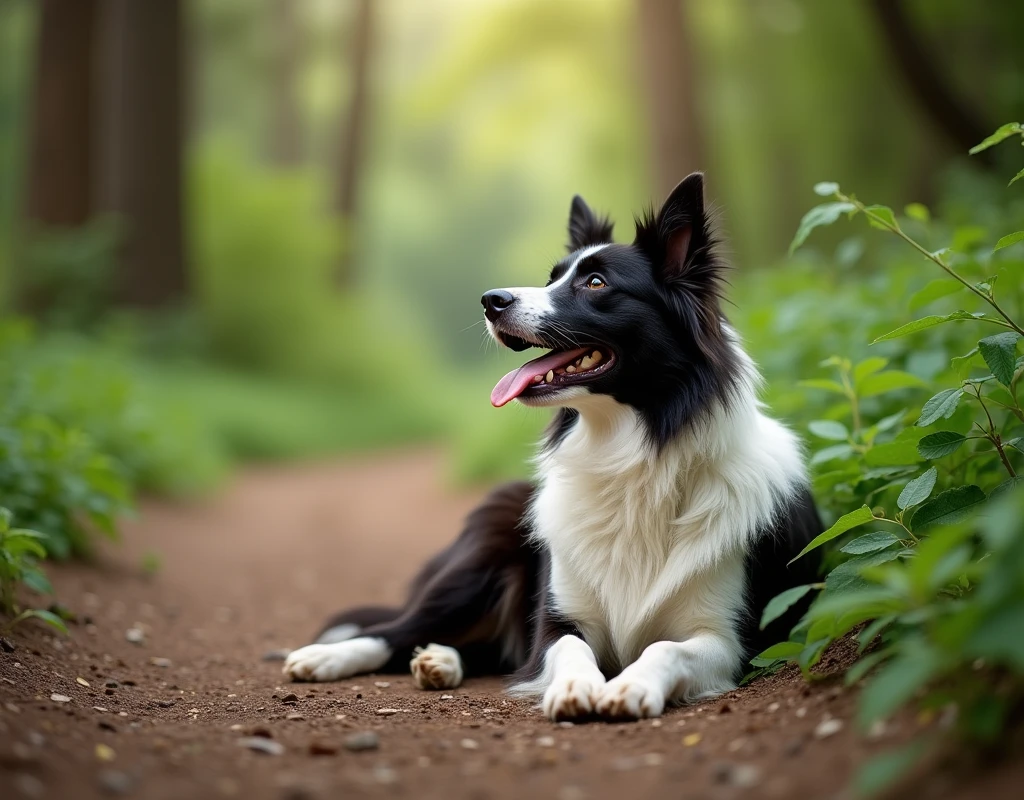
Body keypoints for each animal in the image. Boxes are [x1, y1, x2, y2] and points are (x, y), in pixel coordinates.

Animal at [282, 173, 823, 717]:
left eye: (596, 283)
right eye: (552, 279)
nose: (490, 300)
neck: (627, 459)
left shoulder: (728, 639)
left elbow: (666, 648)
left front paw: (632, 685)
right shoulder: (558, 619)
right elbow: (568, 648)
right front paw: (575, 687)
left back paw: (440, 660)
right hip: (482, 550)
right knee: (394, 631)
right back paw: (327, 656)